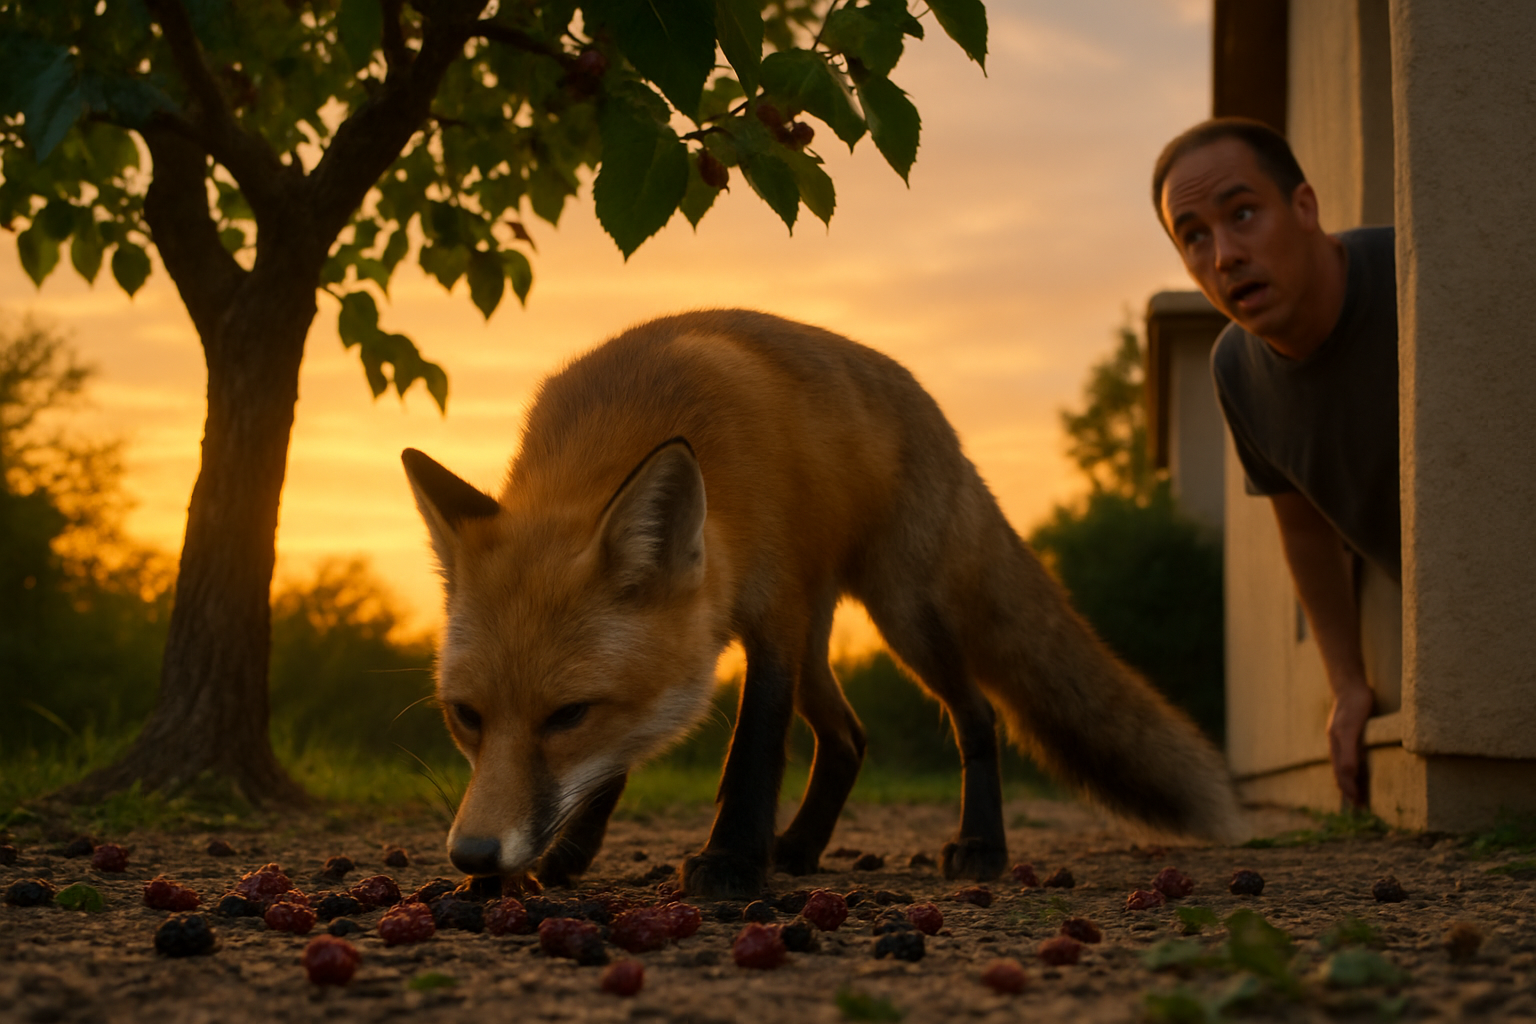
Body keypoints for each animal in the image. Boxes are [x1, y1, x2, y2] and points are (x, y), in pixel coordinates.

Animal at [402, 308, 1247, 900]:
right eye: (466, 717)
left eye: (567, 715)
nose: (473, 854)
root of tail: (935, 414)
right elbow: (614, 764)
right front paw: (568, 857)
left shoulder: (770, 615)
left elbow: (752, 751)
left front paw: (730, 861)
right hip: (821, 639)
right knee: (849, 737)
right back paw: (801, 848)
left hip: (901, 613)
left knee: (977, 715)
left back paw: (981, 847)